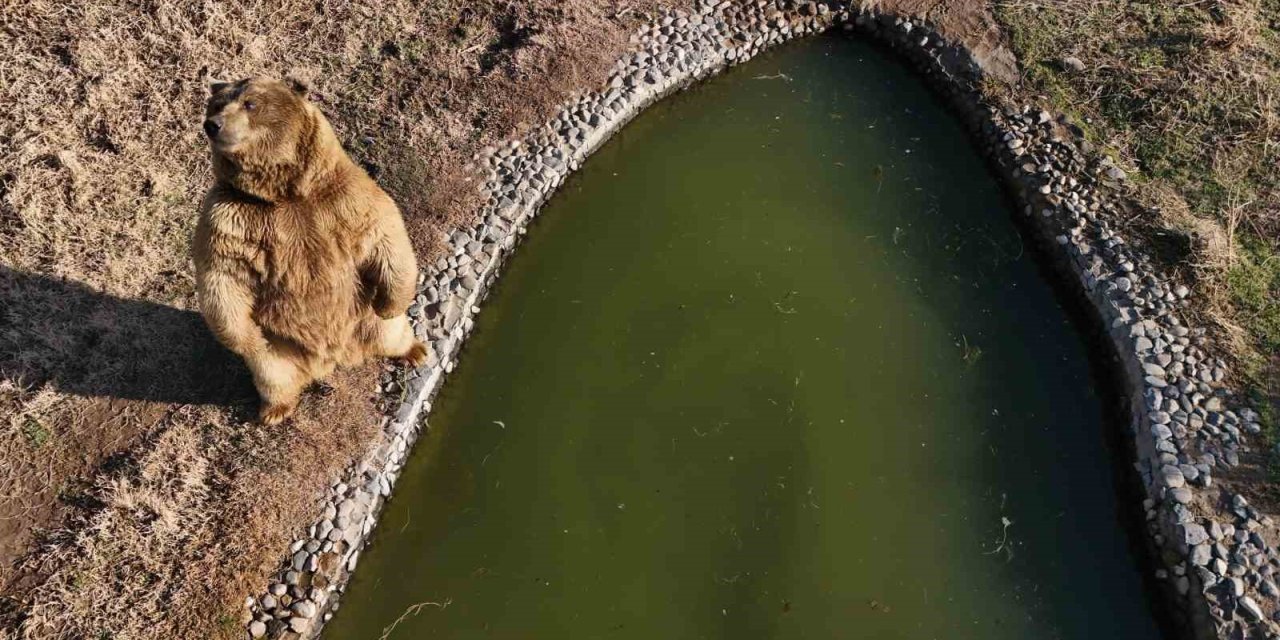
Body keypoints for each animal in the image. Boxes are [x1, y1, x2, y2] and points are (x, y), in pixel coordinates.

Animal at [192, 77, 427, 424]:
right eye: (217, 104)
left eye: (250, 103)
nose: (213, 125)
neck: (284, 193)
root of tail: (335, 358)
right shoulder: (230, 218)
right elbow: (222, 277)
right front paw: (246, 338)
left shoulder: (345, 199)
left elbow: (386, 235)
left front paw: (390, 303)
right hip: (279, 349)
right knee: (272, 373)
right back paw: (274, 410)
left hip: (366, 320)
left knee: (392, 332)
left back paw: (416, 351)